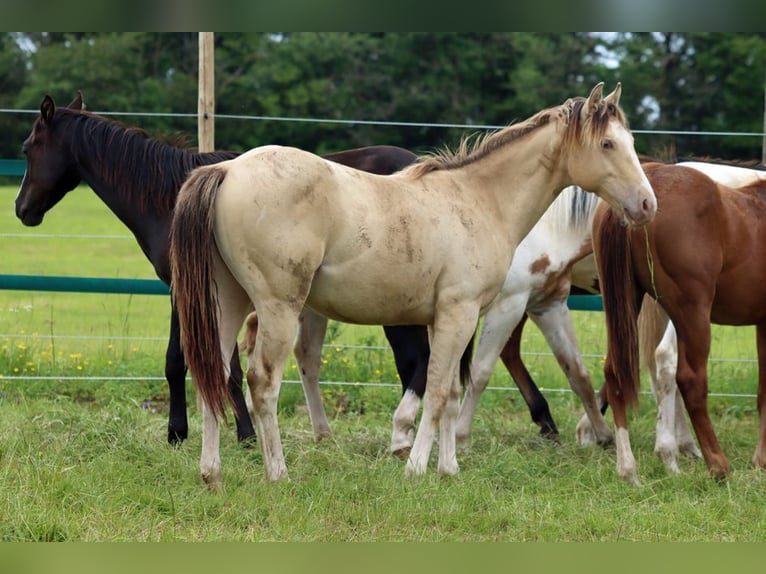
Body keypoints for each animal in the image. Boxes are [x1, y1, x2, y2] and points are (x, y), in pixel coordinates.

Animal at [13, 92, 426, 448]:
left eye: (27, 148)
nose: (21, 209)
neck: (171, 197)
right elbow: (198, 362)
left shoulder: (196, 290)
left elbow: (198, 363)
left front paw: (217, 434)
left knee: (417, 363)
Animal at [171, 83, 656, 488]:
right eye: (608, 144)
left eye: (631, 143)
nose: (648, 204)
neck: (480, 200)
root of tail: (228, 170)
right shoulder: (459, 313)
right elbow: (439, 390)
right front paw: (417, 467)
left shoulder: (452, 319)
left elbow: (454, 391)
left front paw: (449, 468)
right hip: (278, 307)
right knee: (262, 382)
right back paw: (278, 473)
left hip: (229, 302)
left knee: (213, 372)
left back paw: (211, 472)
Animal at [596, 162, 766, 486]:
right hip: (692, 316)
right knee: (690, 380)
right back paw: (717, 466)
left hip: (626, 303)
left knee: (614, 372)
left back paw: (629, 471)